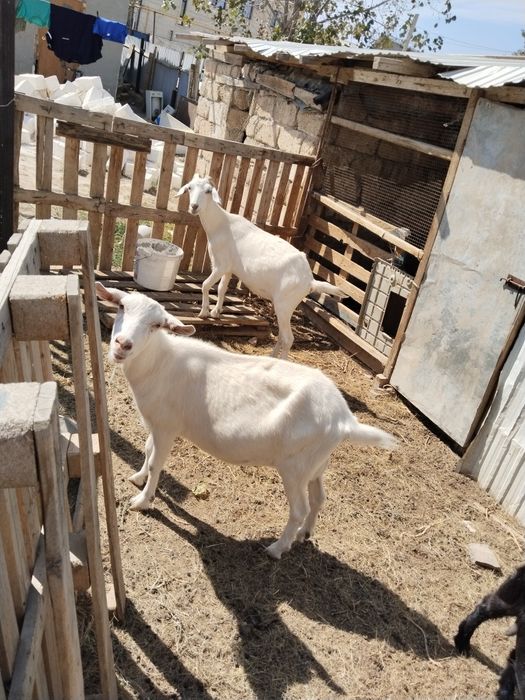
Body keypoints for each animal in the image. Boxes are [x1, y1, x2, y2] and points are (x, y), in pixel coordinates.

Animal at [96, 282, 396, 560]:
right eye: (121, 306)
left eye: (156, 325)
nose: (123, 344)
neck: (159, 362)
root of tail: (345, 420)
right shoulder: (156, 421)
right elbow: (147, 450)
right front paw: (138, 477)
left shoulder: (167, 427)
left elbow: (157, 463)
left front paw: (142, 501)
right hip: (315, 462)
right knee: (318, 497)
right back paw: (304, 535)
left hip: (294, 466)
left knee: (300, 508)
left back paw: (277, 548)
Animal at [175, 174, 346, 359]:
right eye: (189, 188)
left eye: (208, 191)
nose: (194, 206)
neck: (220, 224)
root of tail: (310, 281)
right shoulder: (229, 268)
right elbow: (221, 288)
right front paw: (216, 312)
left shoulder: (220, 265)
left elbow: (206, 285)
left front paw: (204, 312)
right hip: (286, 306)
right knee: (282, 335)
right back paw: (271, 356)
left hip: (284, 304)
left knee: (289, 338)